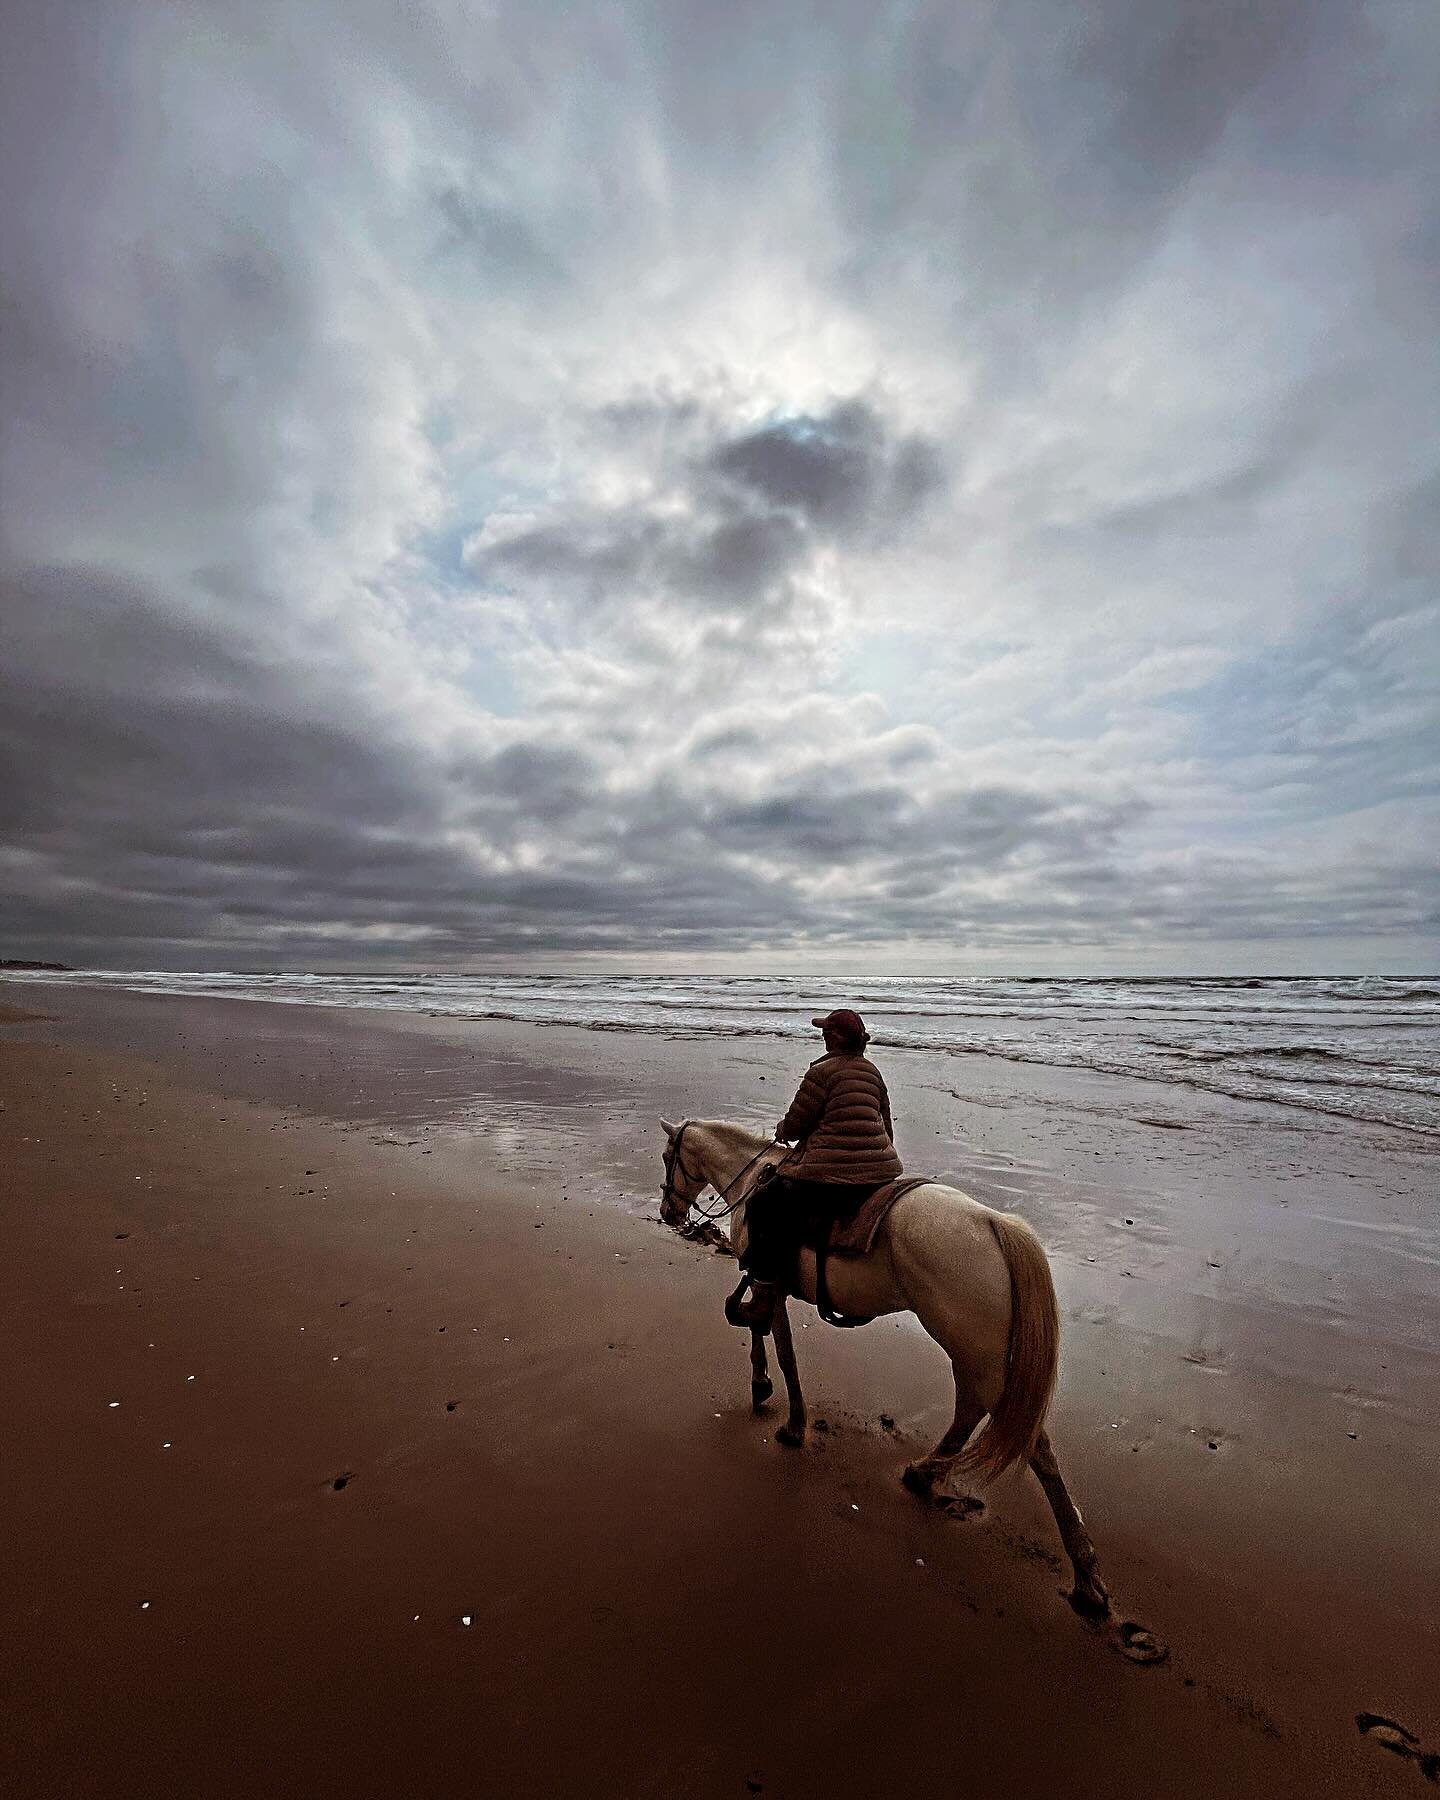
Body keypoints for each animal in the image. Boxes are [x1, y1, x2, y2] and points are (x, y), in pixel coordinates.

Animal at [658, 1116, 1152, 1641]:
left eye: (668, 1156)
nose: (668, 1211)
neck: (753, 1181)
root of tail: (995, 1224)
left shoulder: (768, 1279)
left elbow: (776, 1344)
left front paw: (784, 1413)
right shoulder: (772, 1286)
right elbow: (762, 1331)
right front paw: (768, 1390)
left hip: (969, 1346)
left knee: (1014, 1433)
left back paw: (1081, 1577)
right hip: (976, 1350)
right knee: (988, 1418)